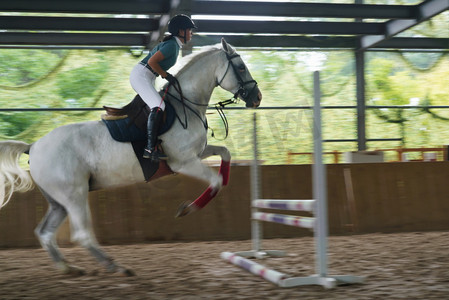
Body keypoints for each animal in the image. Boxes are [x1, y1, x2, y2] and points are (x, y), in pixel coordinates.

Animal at [0, 38, 260, 276]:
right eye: (241, 67)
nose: (257, 97)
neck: (185, 104)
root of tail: (33, 146)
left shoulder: (197, 153)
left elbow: (225, 154)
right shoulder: (183, 162)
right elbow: (215, 181)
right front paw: (187, 209)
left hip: (58, 201)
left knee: (45, 232)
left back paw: (68, 268)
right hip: (73, 195)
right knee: (81, 234)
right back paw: (114, 266)